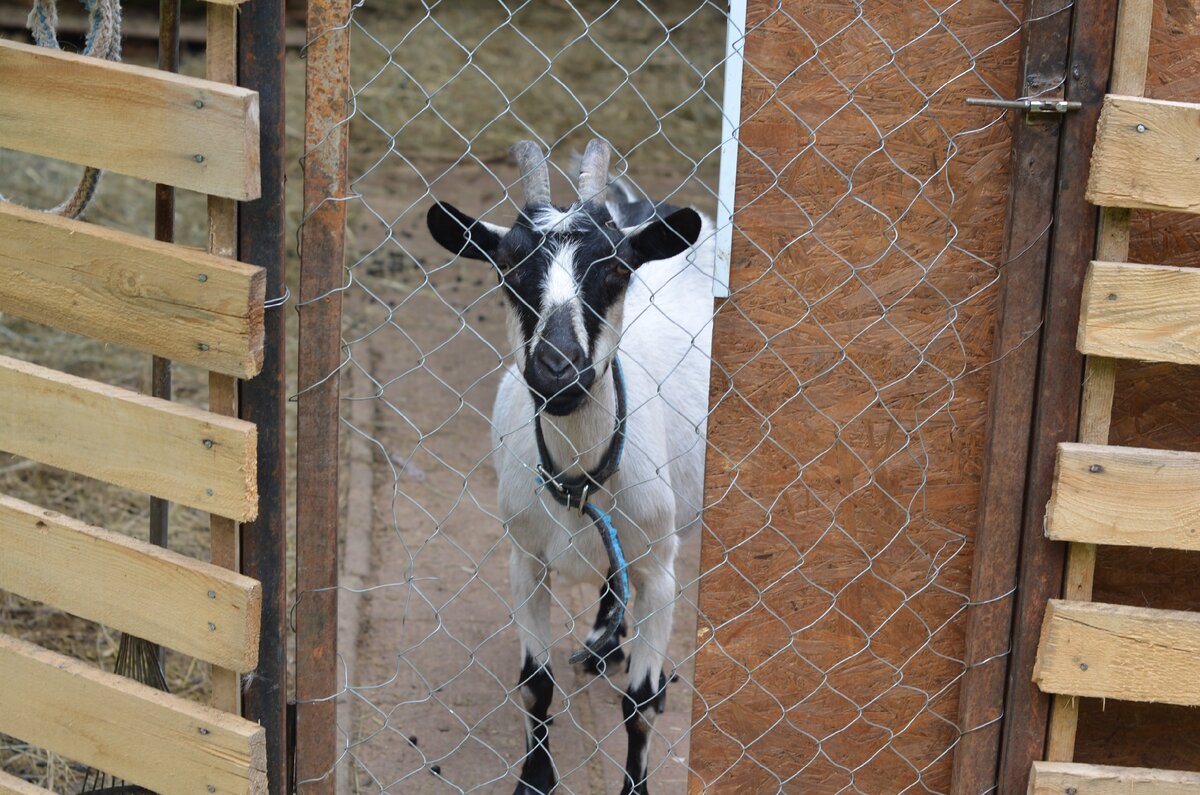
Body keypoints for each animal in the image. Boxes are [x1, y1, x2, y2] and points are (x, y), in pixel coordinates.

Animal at [427, 139, 710, 792]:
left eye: (616, 268)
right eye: (509, 267)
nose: (558, 371)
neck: (581, 478)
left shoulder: (660, 571)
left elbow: (640, 706)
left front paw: (636, 785)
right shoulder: (525, 559)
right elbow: (536, 685)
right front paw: (534, 778)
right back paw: (604, 641)